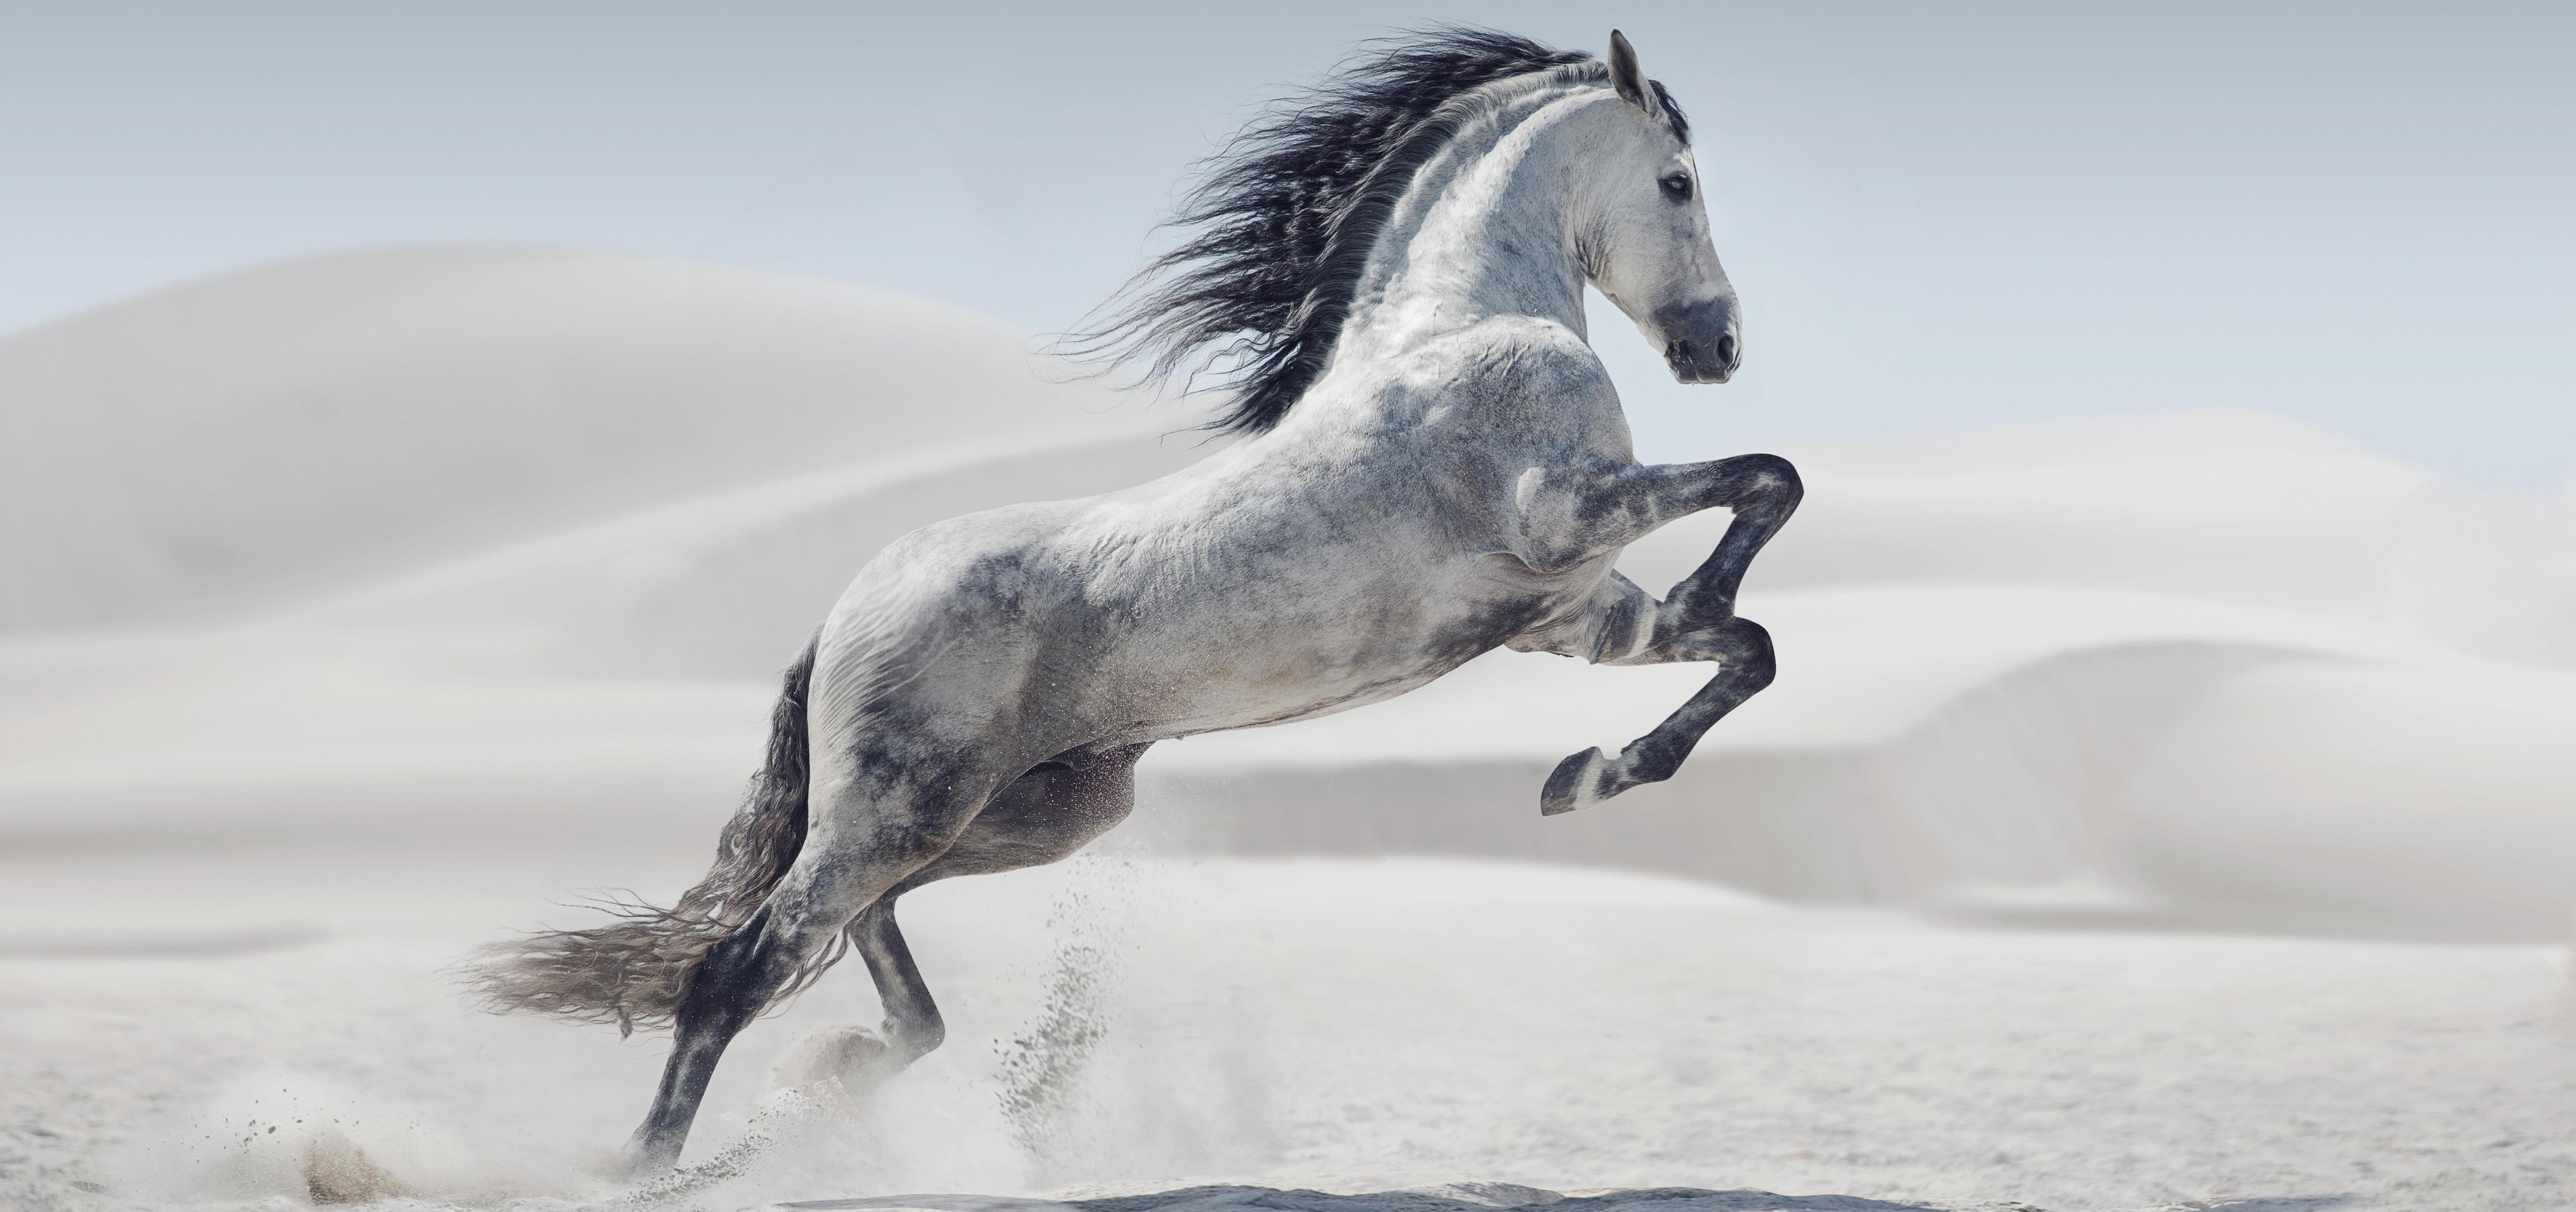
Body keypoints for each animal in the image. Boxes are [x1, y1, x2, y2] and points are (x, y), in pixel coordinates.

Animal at [468, 26, 1800, 1177]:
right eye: (1678, 181)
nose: (1720, 346)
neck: (1462, 326)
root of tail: (840, 614)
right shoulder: (1565, 515)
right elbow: (1768, 482)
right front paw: (1630, 710)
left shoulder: (1572, 613)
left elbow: (1748, 645)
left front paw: (1590, 773)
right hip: (901, 812)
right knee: (738, 968)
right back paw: (648, 1165)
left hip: (1021, 816)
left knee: (867, 952)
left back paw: (822, 1090)